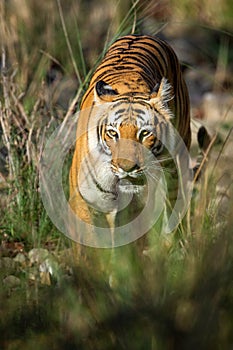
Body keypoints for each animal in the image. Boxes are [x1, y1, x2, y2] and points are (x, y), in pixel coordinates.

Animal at [68, 35, 191, 243]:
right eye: (113, 133)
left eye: (145, 133)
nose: (127, 168)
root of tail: (141, 35)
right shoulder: (82, 199)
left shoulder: (138, 206)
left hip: (178, 158)